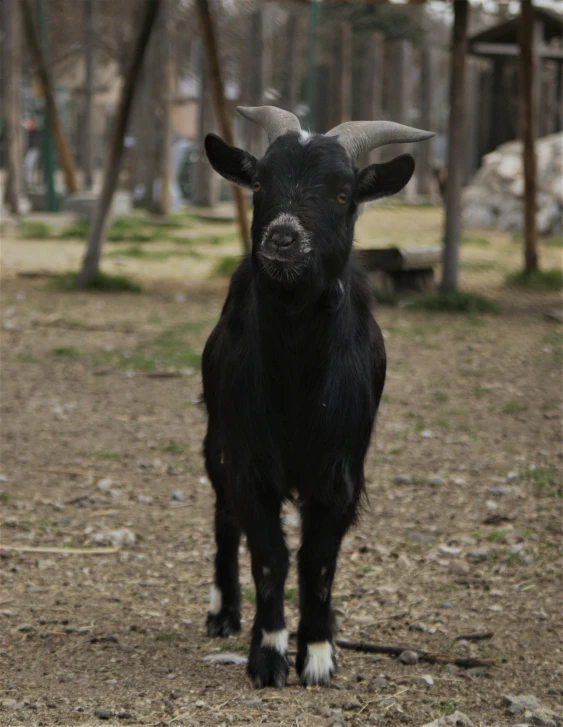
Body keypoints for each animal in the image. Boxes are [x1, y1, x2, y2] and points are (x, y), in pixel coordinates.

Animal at [202, 106, 432, 688]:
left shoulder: (339, 470)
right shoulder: (249, 460)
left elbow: (318, 560)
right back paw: (223, 612)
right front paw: (268, 656)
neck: (297, 381)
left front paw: (319, 654)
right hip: (215, 437)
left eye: (343, 194)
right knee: (222, 516)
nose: (283, 238)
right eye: (261, 183)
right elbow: (269, 557)